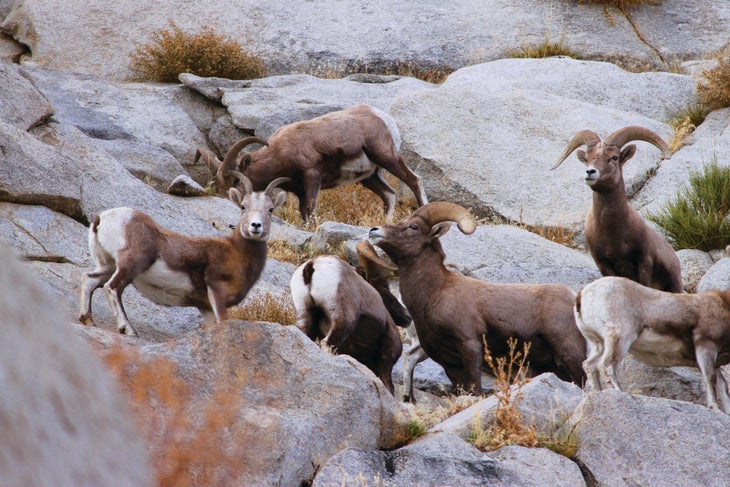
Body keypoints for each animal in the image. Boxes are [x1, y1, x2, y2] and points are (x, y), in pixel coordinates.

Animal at [77, 175, 288, 340]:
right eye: (243, 206)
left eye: (270, 209)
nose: (255, 226)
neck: (237, 252)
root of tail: (102, 219)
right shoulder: (217, 293)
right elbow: (222, 322)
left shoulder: (205, 307)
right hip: (130, 266)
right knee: (112, 288)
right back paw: (129, 330)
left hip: (108, 266)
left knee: (90, 280)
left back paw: (88, 320)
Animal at [196, 106, 430, 224]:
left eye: (235, 180)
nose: (225, 198)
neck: (280, 152)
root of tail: (382, 117)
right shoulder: (300, 191)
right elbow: (304, 215)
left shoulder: (311, 178)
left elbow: (311, 212)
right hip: (370, 177)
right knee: (389, 194)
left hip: (387, 158)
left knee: (414, 180)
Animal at [292, 242, 416, 394]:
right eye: (385, 285)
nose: (407, 316)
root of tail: (312, 266)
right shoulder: (387, 356)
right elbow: (388, 386)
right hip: (343, 322)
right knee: (327, 344)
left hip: (305, 317)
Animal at [552, 127, 684, 294]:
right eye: (587, 158)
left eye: (614, 157)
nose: (590, 172)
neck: (614, 235)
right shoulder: (603, 264)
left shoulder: (644, 260)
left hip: (675, 283)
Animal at [576, 276, 728, 414]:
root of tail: (583, 294)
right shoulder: (706, 347)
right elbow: (711, 379)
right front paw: (715, 408)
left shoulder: (715, 362)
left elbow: (723, 387)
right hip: (619, 340)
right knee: (606, 365)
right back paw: (619, 392)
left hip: (599, 344)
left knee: (590, 365)